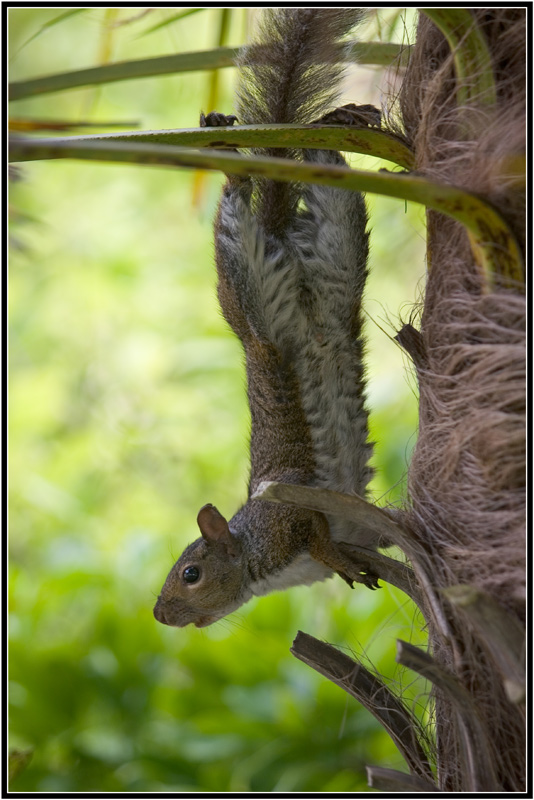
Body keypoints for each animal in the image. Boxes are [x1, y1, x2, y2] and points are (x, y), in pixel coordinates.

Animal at [155, 9, 382, 628]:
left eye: (190, 573)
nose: (159, 614)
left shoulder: (290, 519)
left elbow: (321, 535)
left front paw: (339, 560)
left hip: (241, 277)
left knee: (238, 199)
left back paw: (242, 158)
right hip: (338, 244)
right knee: (328, 168)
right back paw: (339, 122)